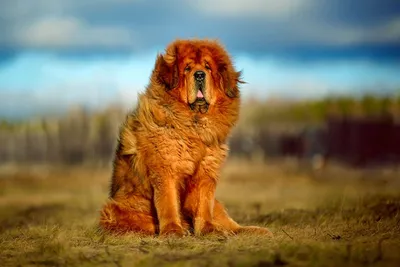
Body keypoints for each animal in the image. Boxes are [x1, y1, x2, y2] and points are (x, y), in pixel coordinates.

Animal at [101, 39, 272, 237]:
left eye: (208, 68)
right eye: (187, 68)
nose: (199, 75)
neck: (193, 125)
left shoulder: (206, 173)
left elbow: (203, 205)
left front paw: (208, 230)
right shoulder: (166, 170)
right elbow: (168, 203)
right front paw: (173, 231)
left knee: (232, 225)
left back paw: (254, 230)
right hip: (115, 209)